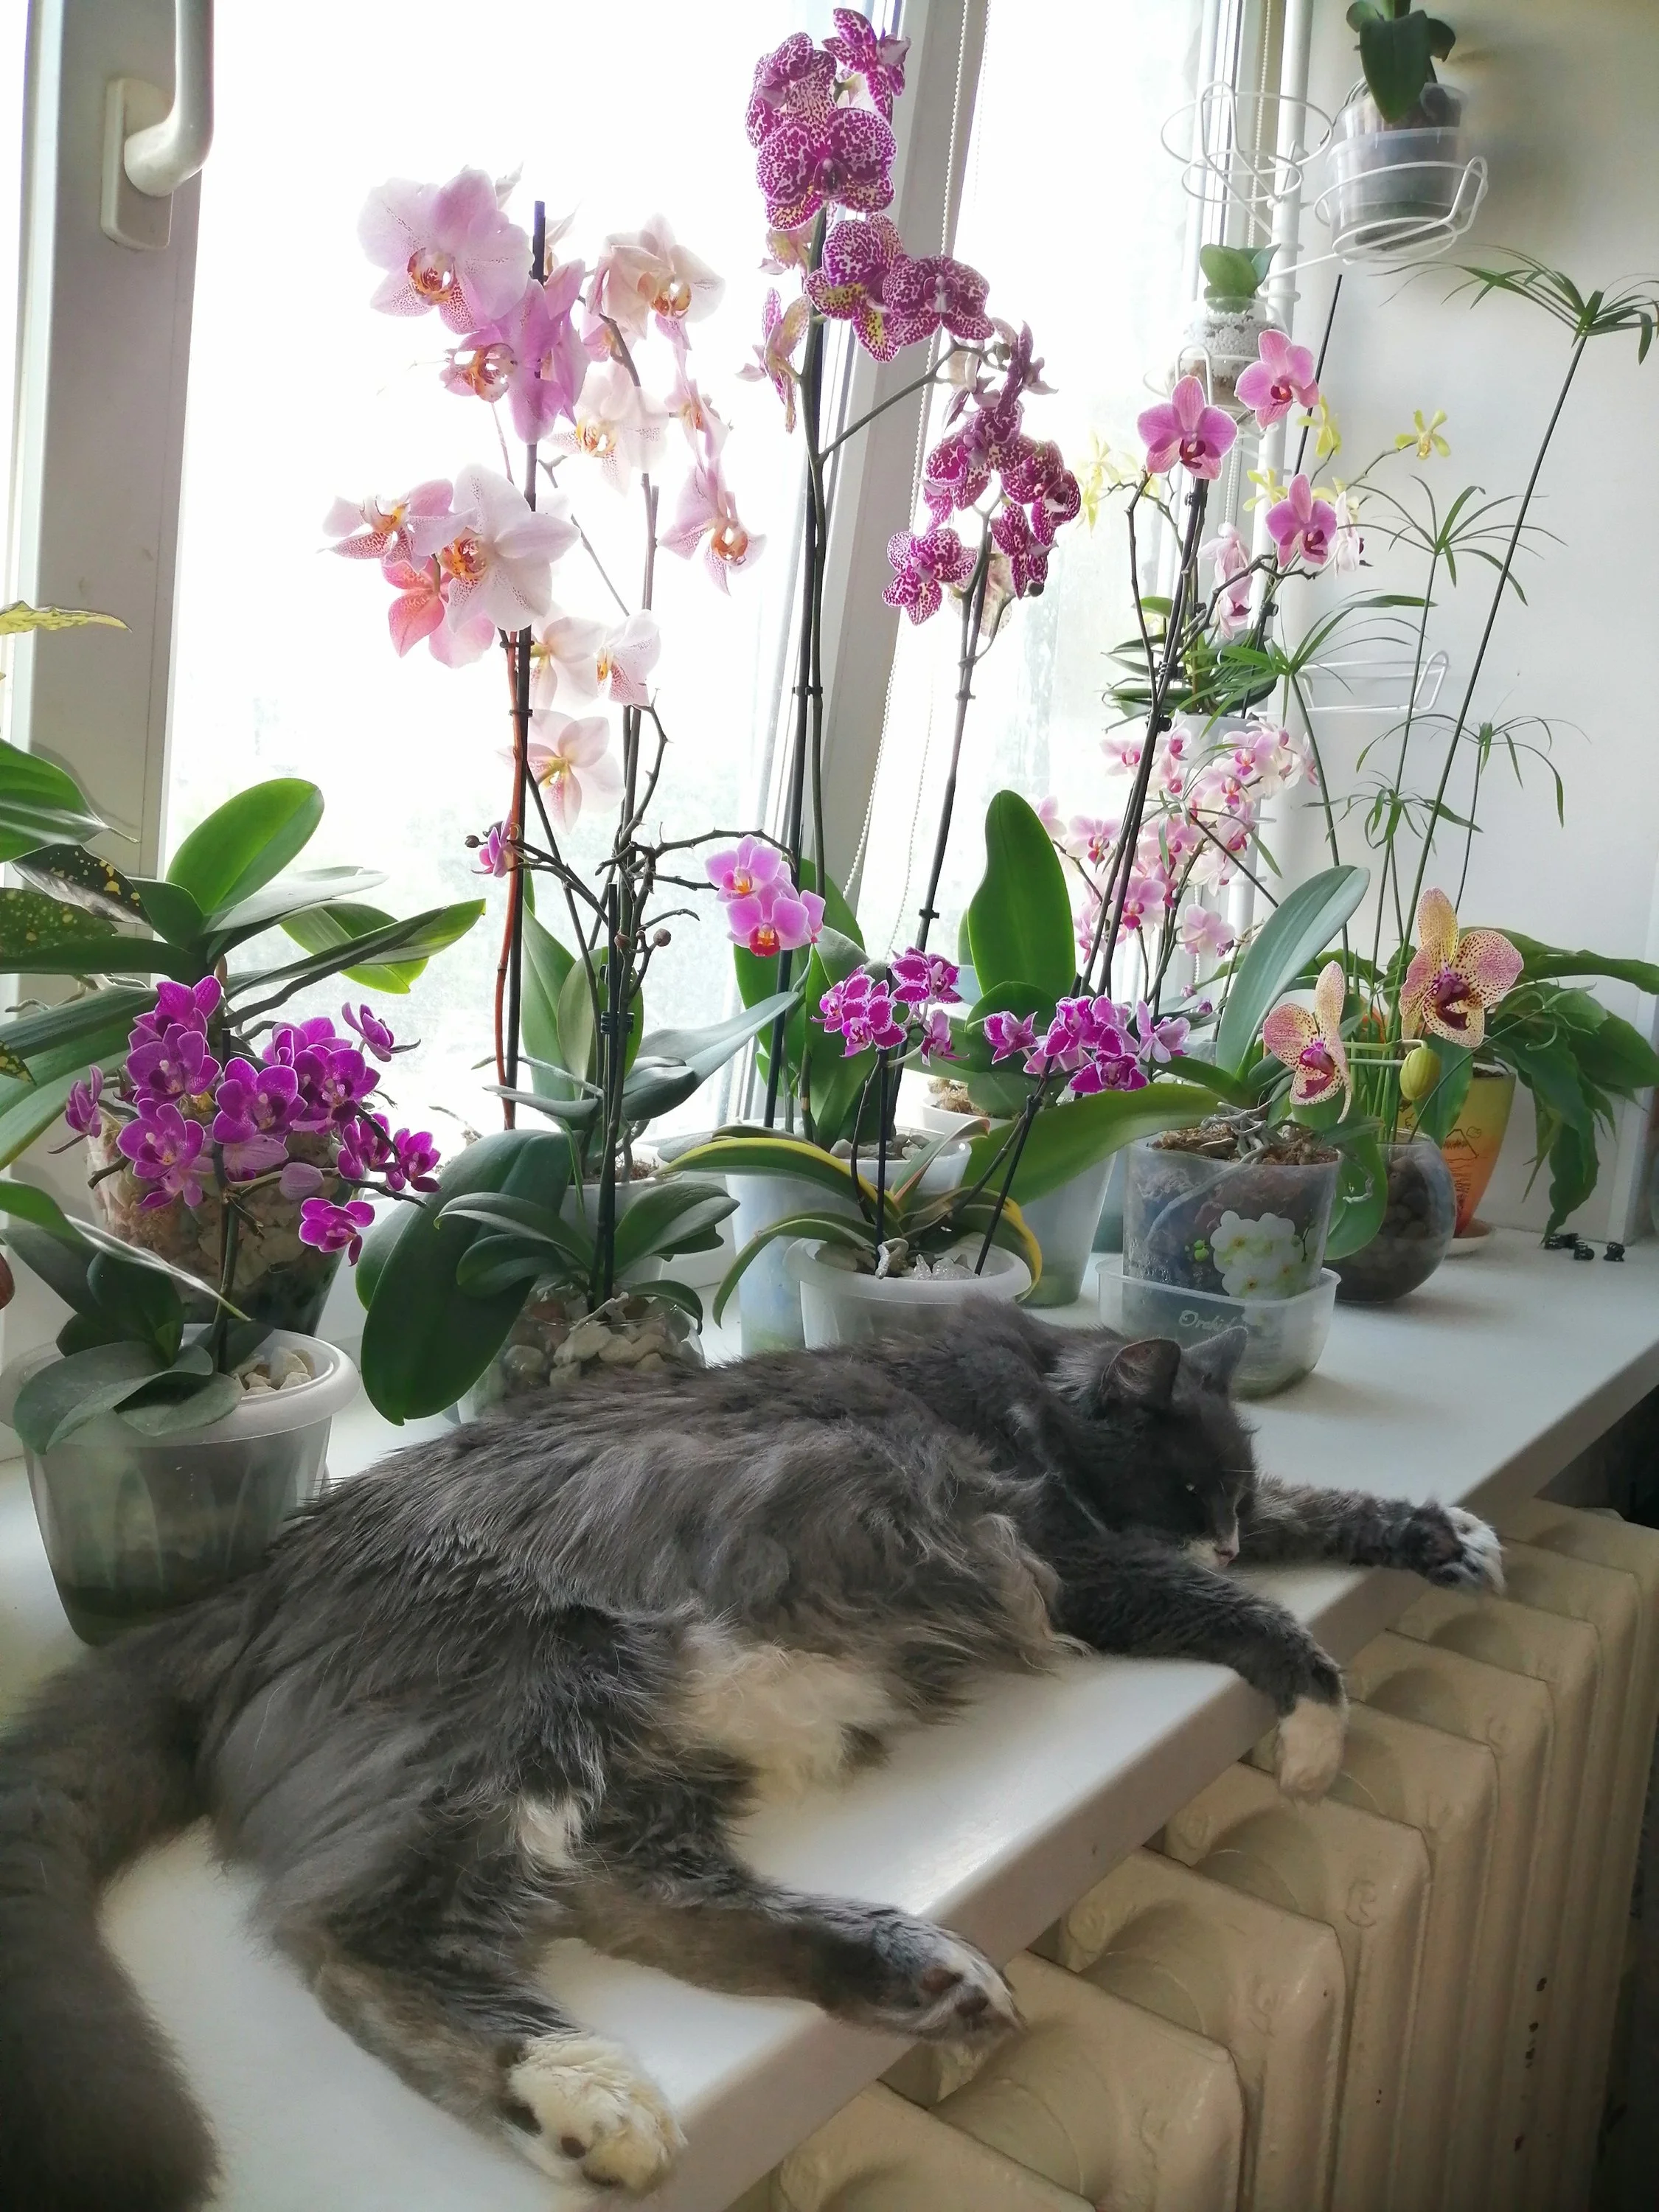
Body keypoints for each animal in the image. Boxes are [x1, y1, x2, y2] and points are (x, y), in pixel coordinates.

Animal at [0, 1306, 1502, 2210]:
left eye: (1227, 1490)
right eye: (1189, 1488)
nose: (1226, 1529)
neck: (1009, 1378)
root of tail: (246, 1586)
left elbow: (1322, 1509)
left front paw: (1443, 1537)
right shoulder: (1075, 1559)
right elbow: (1243, 1621)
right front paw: (1315, 1727)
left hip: (623, 1776)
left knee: (655, 1905)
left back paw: (921, 1976)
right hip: (530, 1707)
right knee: (357, 1933)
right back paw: (588, 2100)